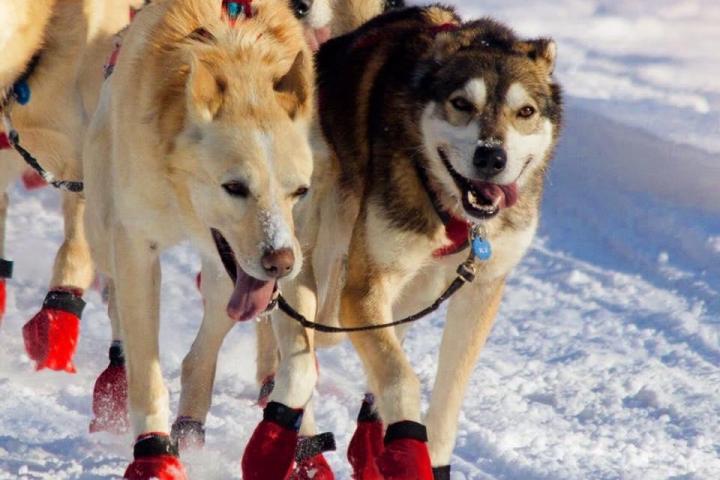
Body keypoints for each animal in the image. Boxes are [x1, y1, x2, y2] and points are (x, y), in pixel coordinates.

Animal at [81, 0, 312, 478]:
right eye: (235, 187)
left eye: (299, 190)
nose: (279, 261)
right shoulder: (136, 246)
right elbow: (146, 371)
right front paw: (153, 452)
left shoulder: (300, 252)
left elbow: (302, 370)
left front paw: (273, 443)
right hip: (102, 229)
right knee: (116, 305)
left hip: (232, 274)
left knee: (204, 347)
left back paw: (190, 421)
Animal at [250, 4, 564, 480]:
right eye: (461, 104)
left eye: (525, 111)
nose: (492, 156)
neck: (454, 213)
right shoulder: (362, 290)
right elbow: (400, 378)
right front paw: (405, 449)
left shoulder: (480, 290)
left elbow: (448, 395)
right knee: (299, 350)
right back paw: (283, 437)